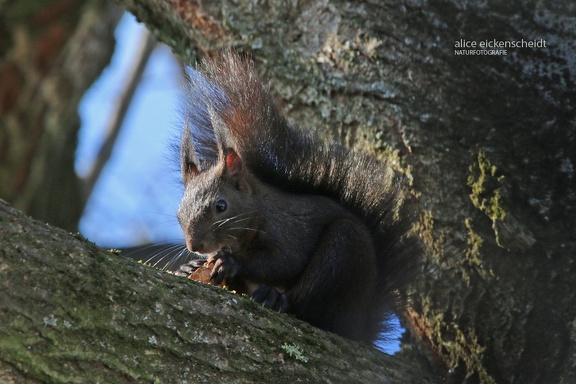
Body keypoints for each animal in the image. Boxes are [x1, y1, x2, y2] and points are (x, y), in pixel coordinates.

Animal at [177, 51, 418, 344]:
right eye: (179, 213)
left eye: (221, 205)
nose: (195, 245)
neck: (258, 212)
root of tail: (359, 326)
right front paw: (191, 267)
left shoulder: (288, 230)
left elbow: (284, 262)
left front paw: (232, 262)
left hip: (344, 251)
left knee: (307, 301)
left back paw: (275, 297)